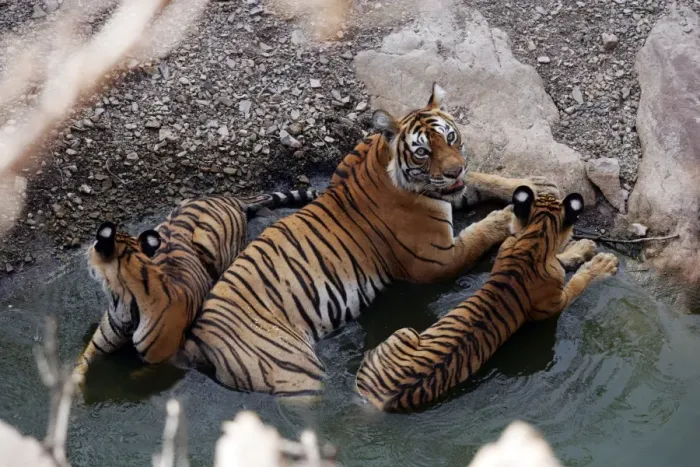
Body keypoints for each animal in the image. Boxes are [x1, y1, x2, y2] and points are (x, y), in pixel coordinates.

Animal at [74, 189, 319, 385]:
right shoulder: (99, 343)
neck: (123, 300)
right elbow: (81, 362)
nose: (86, 251)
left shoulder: (162, 360)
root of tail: (226, 197)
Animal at [175, 83, 560, 398]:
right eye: (423, 151)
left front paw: (537, 184)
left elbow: (484, 178)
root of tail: (198, 338)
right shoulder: (438, 259)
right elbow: (480, 232)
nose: (454, 170)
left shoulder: (451, 191)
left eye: (450, 138)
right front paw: (509, 213)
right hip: (293, 369)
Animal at [354, 185, 620, 412]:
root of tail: (375, 400)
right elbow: (577, 281)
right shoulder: (554, 304)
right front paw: (601, 262)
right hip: (407, 331)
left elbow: (561, 259)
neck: (534, 238)